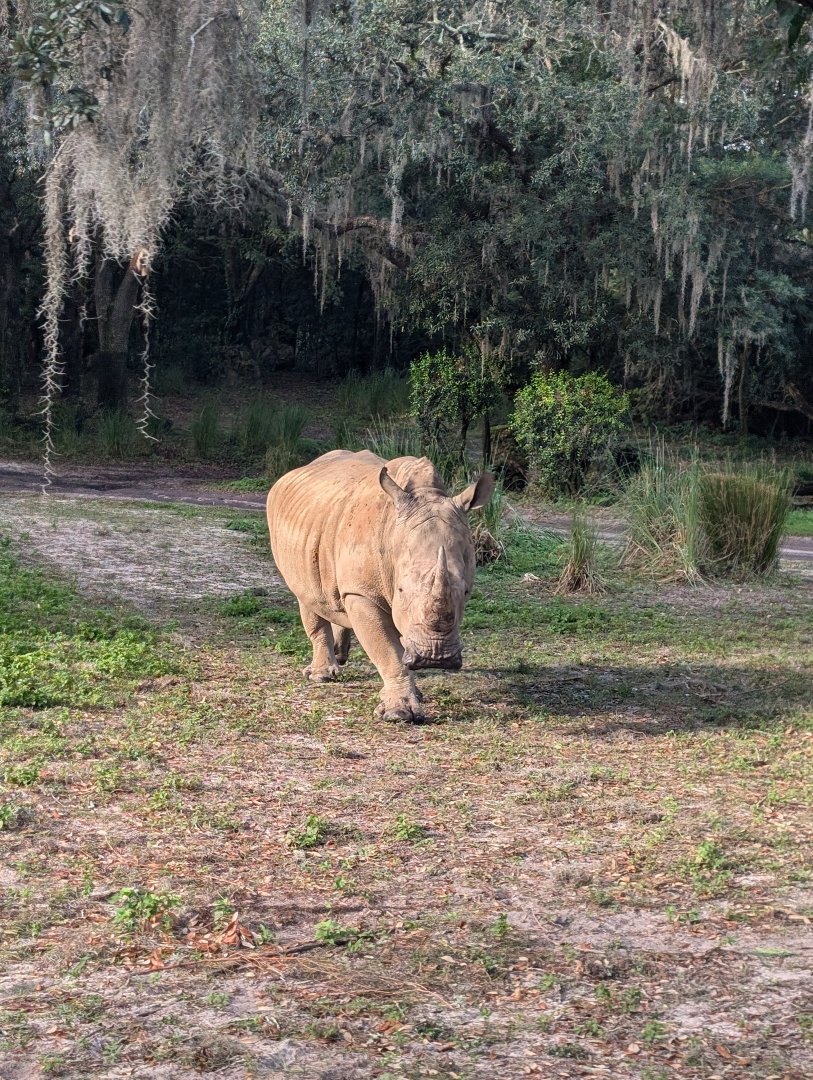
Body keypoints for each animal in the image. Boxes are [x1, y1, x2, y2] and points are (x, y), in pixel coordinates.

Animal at [266, 450, 494, 722]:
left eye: (467, 592)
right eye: (401, 590)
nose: (436, 658)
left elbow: (400, 642)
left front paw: (414, 694)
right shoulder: (363, 593)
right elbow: (388, 650)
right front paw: (399, 713)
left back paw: (340, 655)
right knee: (306, 596)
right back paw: (321, 676)